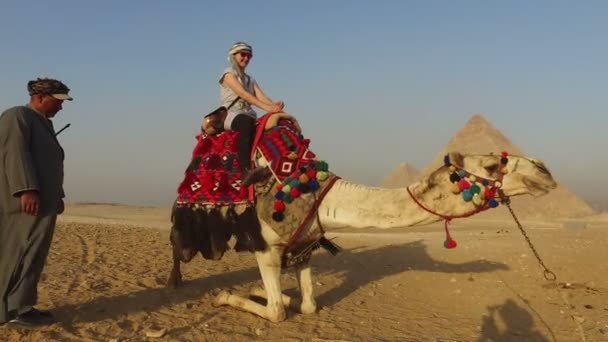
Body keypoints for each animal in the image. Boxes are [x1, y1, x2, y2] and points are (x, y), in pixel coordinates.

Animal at [169, 135, 560, 322]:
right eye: (493, 166)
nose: (544, 170)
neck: (322, 198)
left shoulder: (305, 244)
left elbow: (307, 306)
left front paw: (272, 293)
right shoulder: (267, 247)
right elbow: (278, 313)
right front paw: (225, 295)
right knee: (177, 246)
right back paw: (175, 282)